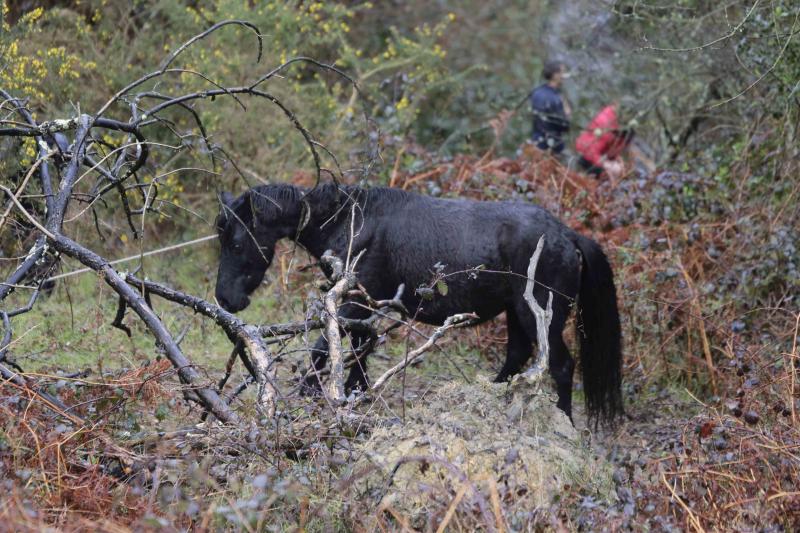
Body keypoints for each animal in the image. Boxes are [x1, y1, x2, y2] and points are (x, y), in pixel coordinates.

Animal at [214, 182, 623, 425]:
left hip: (540, 316)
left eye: (236, 243)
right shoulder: (361, 307)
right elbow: (359, 350)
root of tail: (567, 235)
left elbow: (325, 349)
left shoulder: (353, 305)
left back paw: (565, 421)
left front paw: (316, 394)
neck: (352, 221)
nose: (225, 299)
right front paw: (357, 394)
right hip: (517, 313)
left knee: (561, 367)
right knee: (516, 357)